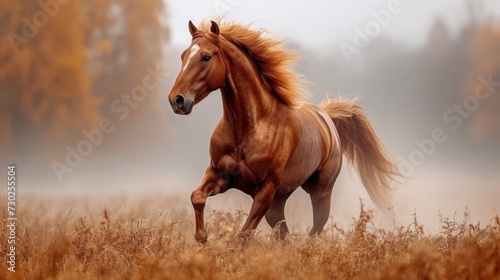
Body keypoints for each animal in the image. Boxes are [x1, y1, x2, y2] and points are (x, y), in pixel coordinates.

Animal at [167, 19, 398, 243]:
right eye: (183, 56)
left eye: (206, 57)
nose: (176, 100)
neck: (247, 129)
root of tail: (326, 118)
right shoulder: (219, 174)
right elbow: (197, 197)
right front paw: (202, 238)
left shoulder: (266, 189)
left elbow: (244, 235)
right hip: (278, 202)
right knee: (284, 235)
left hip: (320, 192)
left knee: (314, 230)